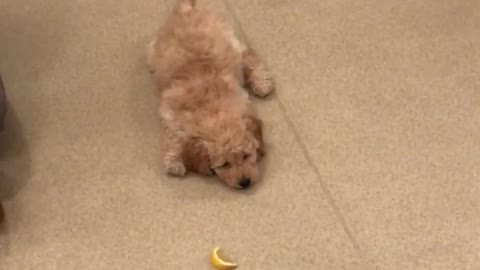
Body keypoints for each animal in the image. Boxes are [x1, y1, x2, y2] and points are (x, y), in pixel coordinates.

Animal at [146, 0, 274, 189]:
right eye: (224, 165)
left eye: (246, 156)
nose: (245, 182)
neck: (212, 108)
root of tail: (187, 8)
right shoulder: (170, 112)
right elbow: (175, 136)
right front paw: (174, 161)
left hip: (230, 40)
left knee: (248, 55)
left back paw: (261, 82)